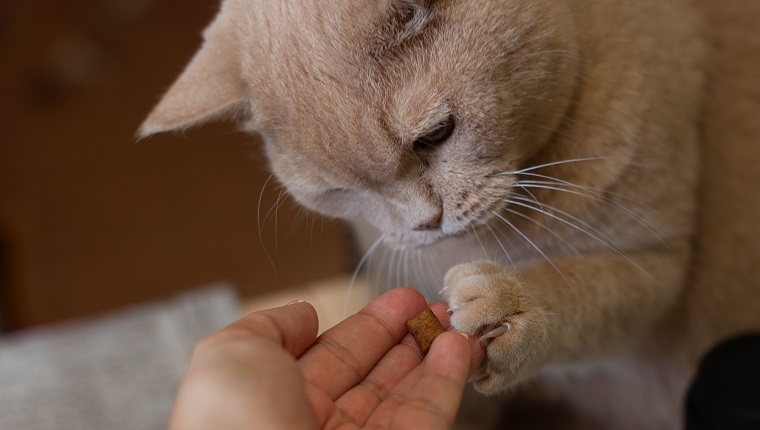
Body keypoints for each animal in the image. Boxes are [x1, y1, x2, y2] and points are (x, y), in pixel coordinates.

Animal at [138, 0, 760, 428]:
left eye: (434, 136)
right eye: (340, 190)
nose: (425, 223)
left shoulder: (657, 264)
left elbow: (578, 290)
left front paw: (514, 308)